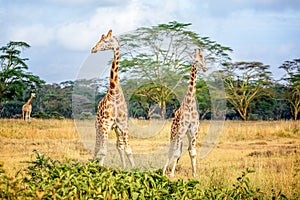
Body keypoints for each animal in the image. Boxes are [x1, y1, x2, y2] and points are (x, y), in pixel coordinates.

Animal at [90, 29, 135, 167]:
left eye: (105, 40)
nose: (93, 49)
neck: (114, 92)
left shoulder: (123, 125)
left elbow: (128, 149)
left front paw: (133, 168)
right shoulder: (105, 124)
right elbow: (103, 150)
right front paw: (99, 168)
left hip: (116, 129)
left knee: (119, 146)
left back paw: (124, 167)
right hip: (98, 127)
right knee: (97, 147)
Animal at [163, 49, 207, 177]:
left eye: (203, 58)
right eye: (196, 60)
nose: (205, 68)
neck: (190, 102)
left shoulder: (194, 130)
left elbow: (193, 152)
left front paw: (194, 174)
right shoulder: (181, 129)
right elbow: (176, 152)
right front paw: (171, 174)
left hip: (185, 134)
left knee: (184, 149)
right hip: (174, 132)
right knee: (171, 150)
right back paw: (163, 171)